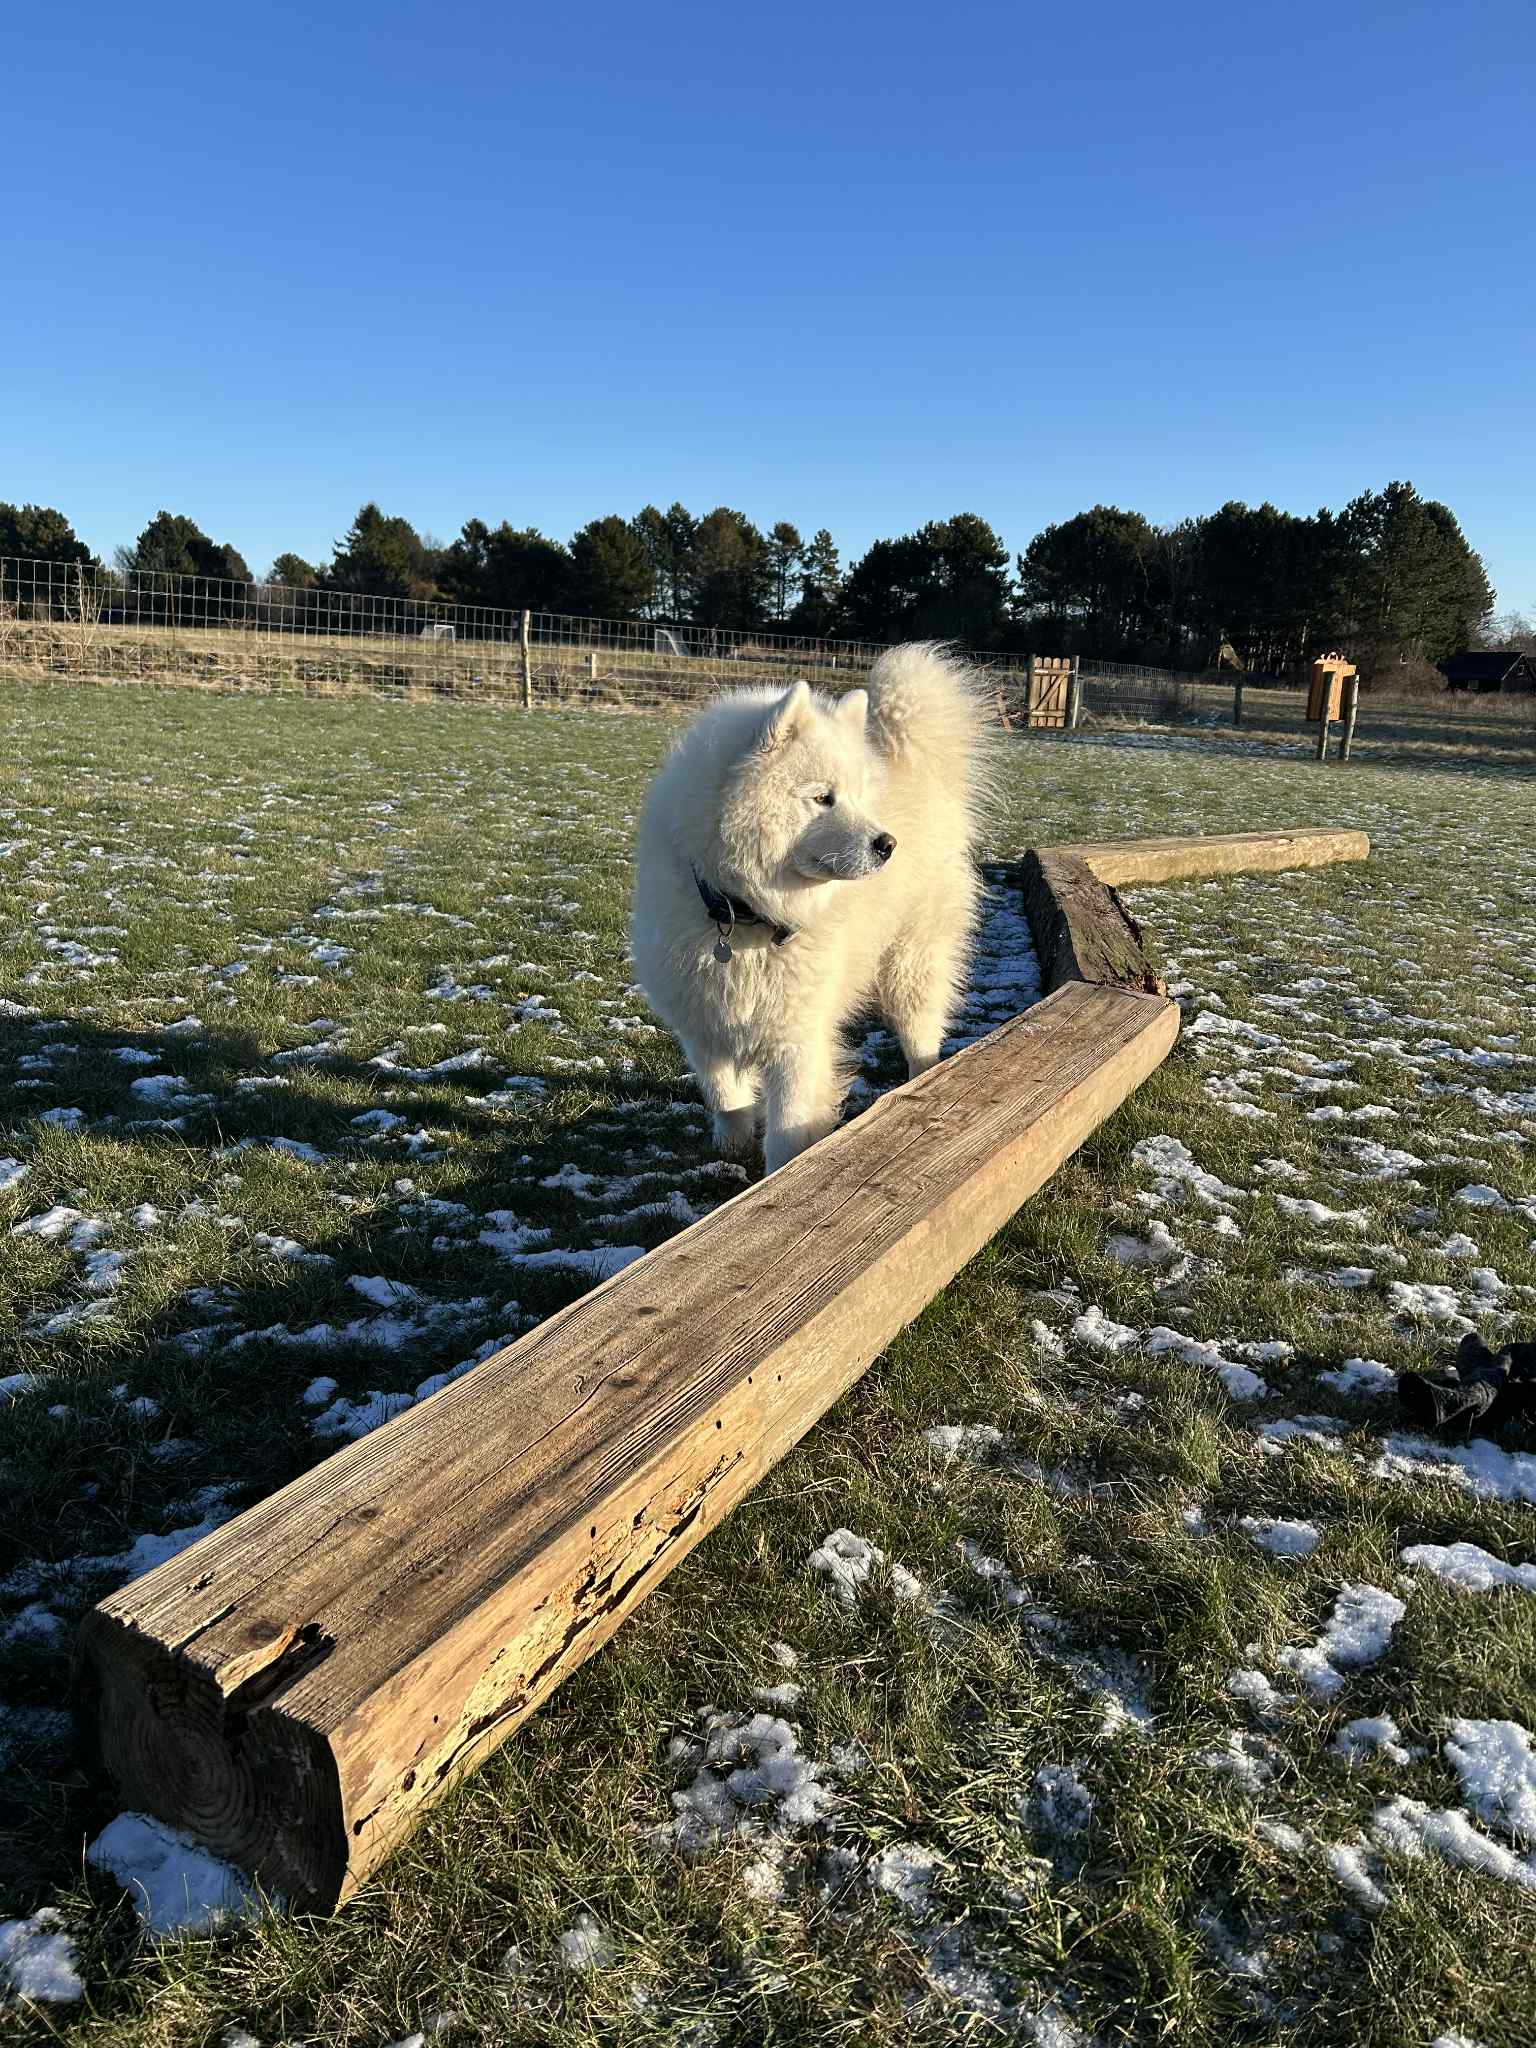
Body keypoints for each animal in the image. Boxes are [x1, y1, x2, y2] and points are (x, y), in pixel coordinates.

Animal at [631, 642, 994, 1172]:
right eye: (823, 798)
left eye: (859, 798)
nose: (888, 844)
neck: (741, 913)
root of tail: (919, 773)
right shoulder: (704, 1024)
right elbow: (725, 1097)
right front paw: (731, 1150)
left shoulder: (797, 1039)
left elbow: (787, 1130)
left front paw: (779, 1179)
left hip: (910, 966)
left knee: (922, 1038)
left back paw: (922, 1081)